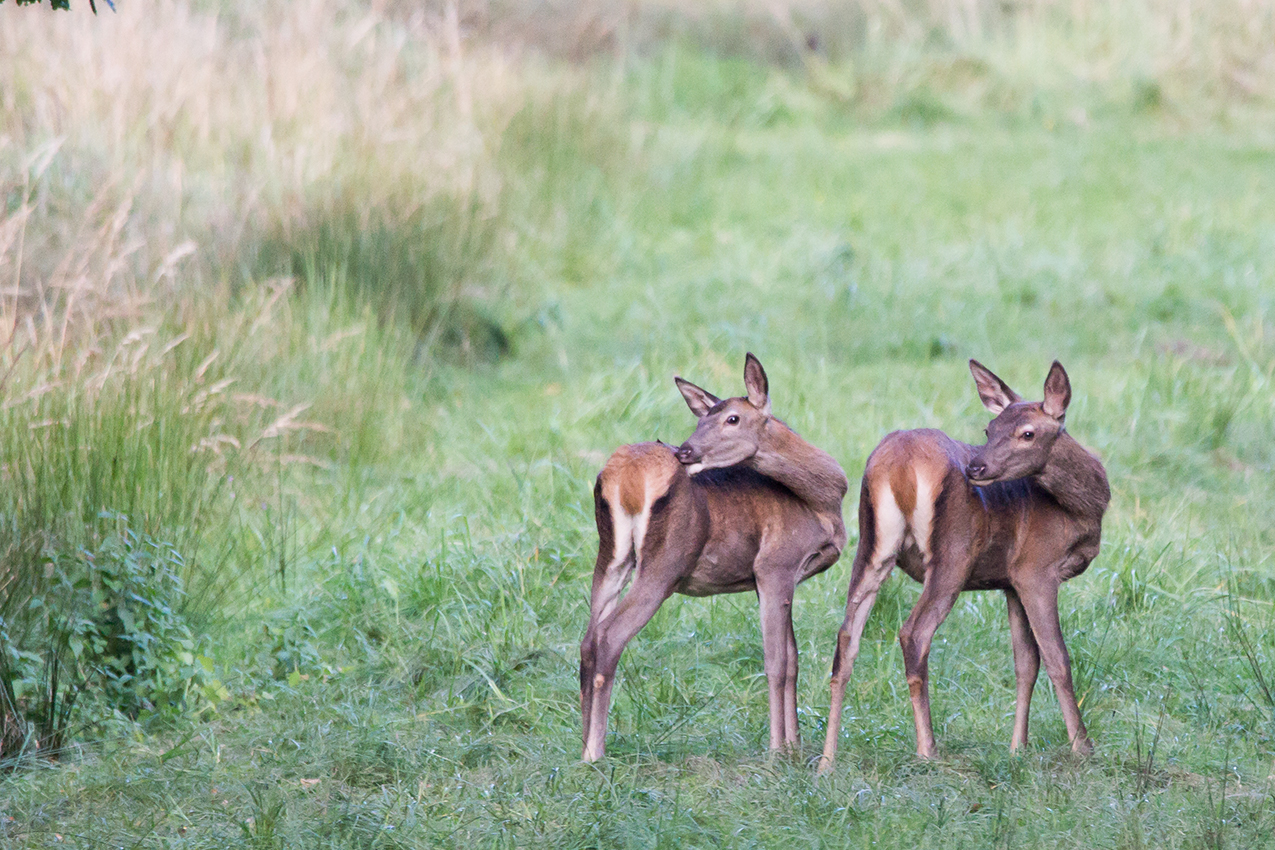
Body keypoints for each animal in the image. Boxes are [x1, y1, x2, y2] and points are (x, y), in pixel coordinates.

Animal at [583, 351, 851, 764]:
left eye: (732, 418)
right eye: (700, 419)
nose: (684, 450)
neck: (823, 503)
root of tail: (622, 477)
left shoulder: (777, 577)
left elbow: (793, 659)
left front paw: (795, 747)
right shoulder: (775, 564)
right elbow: (776, 662)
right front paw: (777, 751)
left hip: (611, 554)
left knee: (587, 638)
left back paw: (581, 744)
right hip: (665, 561)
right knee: (609, 636)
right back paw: (595, 751)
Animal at [816, 359, 1106, 769]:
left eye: (1027, 433)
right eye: (989, 429)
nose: (977, 468)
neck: (1082, 512)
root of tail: (898, 464)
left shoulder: (1010, 581)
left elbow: (1025, 663)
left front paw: (1017, 748)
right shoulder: (1036, 569)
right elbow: (1056, 657)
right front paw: (1083, 747)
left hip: (872, 544)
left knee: (846, 637)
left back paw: (827, 759)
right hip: (953, 552)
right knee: (914, 633)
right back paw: (927, 749)